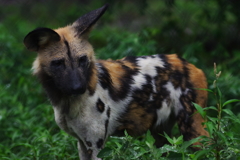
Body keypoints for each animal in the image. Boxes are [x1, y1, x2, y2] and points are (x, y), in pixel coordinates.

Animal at [23, 3, 208, 160]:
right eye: (58, 63)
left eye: (82, 60)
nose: (78, 88)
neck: (66, 102)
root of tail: (191, 66)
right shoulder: (82, 144)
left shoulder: (95, 145)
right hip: (161, 136)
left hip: (192, 128)